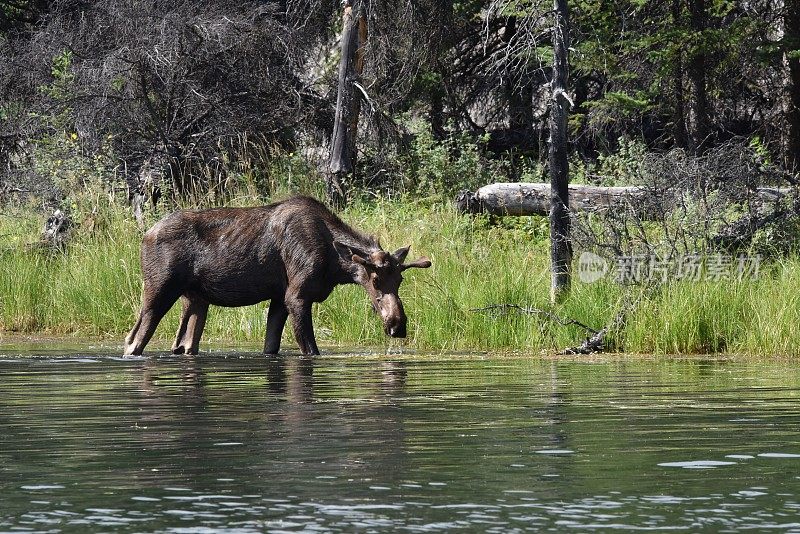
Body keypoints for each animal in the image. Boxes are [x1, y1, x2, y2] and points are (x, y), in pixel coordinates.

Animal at [123, 196, 432, 356]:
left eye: (400, 280)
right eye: (375, 280)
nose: (397, 325)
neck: (334, 266)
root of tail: (144, 236)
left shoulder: (279, 298)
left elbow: (271, 346)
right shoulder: (297, 296)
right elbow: (310, 348)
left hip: (196, 299)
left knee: (184, 344)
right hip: (159, 289)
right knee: (132, 341)